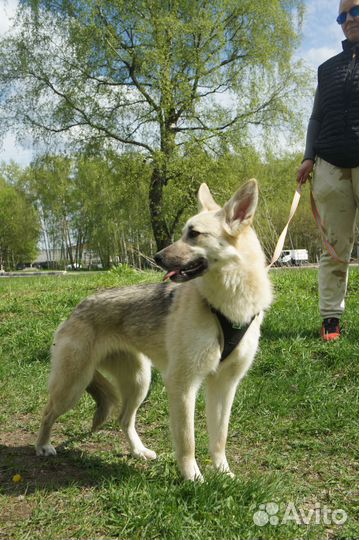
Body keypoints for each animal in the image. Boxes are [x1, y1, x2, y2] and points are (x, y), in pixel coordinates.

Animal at [35, 181, 272, 480]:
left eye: (194, 234)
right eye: (184, 232)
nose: (156, 257)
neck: (227, 303)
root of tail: (78, 307)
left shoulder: (225, 385)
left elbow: (219, 438)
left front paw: (223, 474)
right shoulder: (182, 385)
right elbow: (187, 441)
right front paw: (193, 478)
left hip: (139, 382)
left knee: (124, 419)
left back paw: (139, 451)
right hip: (73, 385)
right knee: (47, 412)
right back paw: (43, 446)